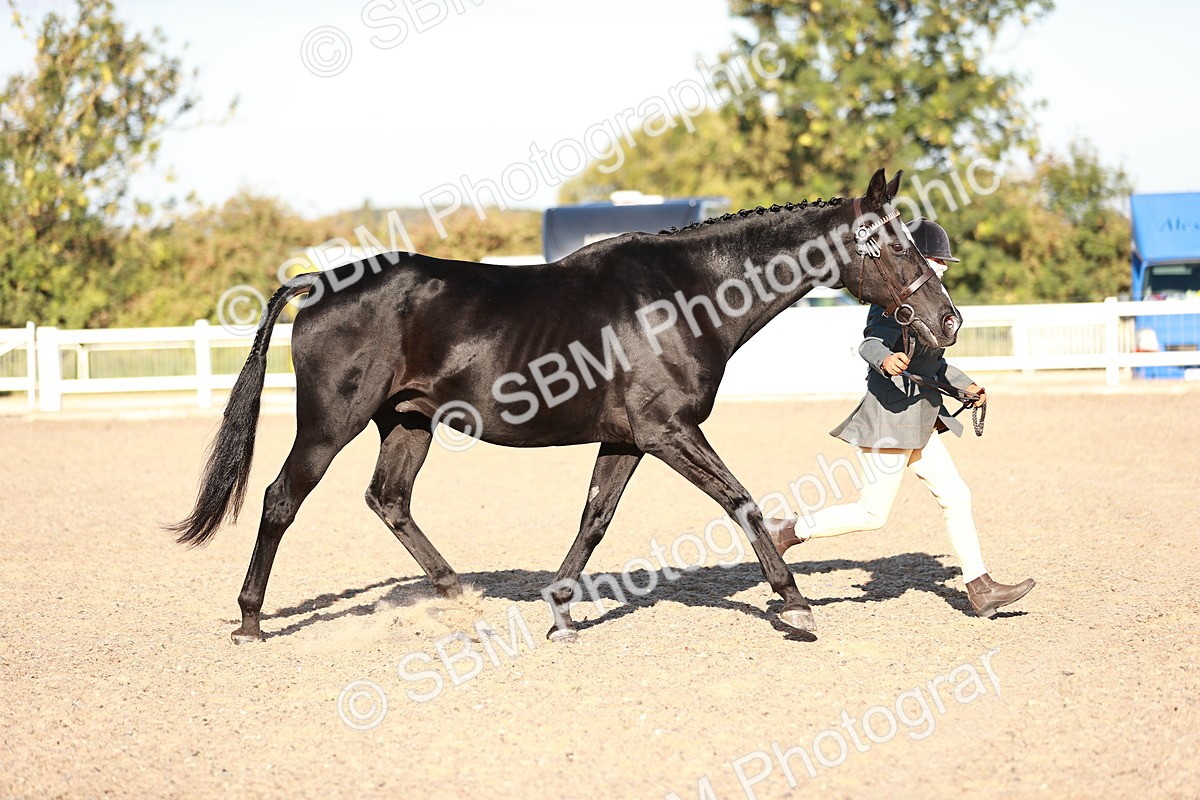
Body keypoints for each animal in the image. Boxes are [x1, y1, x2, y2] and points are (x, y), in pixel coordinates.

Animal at [170, 168, 962, 643]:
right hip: (329, 424)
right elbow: (741, 503)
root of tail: (316, 284)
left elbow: (595, 519)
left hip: (409, 422)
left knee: (389, 499)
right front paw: (794, 605)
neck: (684, 297)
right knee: (279, 500)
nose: (948, 321)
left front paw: (559, 614)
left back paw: (459, 593)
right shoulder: (669, 431)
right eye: (893, 245)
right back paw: (250, 621)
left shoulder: (630, 440)